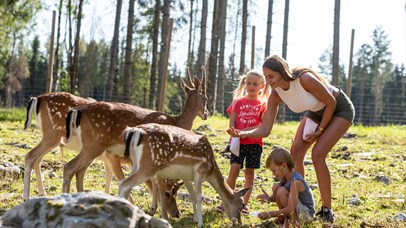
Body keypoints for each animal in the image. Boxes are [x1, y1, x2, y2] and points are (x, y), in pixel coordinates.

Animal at [63, 67, 209, 219]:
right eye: (206, 98)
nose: (206, 114)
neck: (177, 122)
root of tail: (78, 111)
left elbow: (153, 182)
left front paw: (152, 209)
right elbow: (158, 183)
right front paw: (161, 214)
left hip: (91, 146)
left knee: (79, 171)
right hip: (95, 143)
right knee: (69, 167)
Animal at [119, 124, 249, 227]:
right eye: (242, 205)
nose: (239, 222)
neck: (210, 170)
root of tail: (134, 131)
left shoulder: (187, 177)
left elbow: (192, 195)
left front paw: (195, 220)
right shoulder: (199, 171)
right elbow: (199, 197)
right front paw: (200, 223)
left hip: (135, 164)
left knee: (126, 185)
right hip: (149, 165)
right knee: (124, 184)